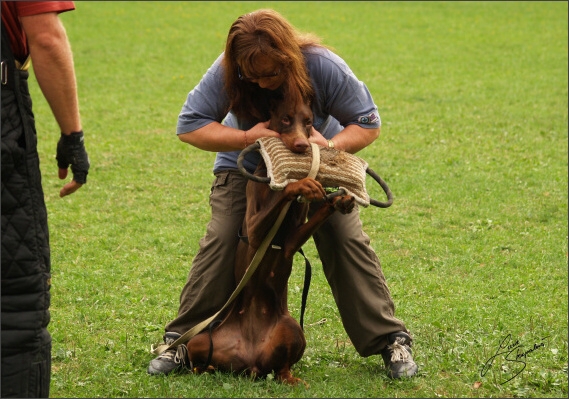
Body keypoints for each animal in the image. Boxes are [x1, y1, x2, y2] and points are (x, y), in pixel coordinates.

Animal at [184, 95, 352, 386]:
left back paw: (292, 379)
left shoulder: (290, 243)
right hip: (200, 340)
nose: (302, 145)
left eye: (309, 122)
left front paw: (339, 199)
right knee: (198, 359)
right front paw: (299, 185)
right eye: (285, 119)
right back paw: (205, 368)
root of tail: (250, 362)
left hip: (292, 329)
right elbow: (285, 193)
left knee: (282, 369)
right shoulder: (253, 229)